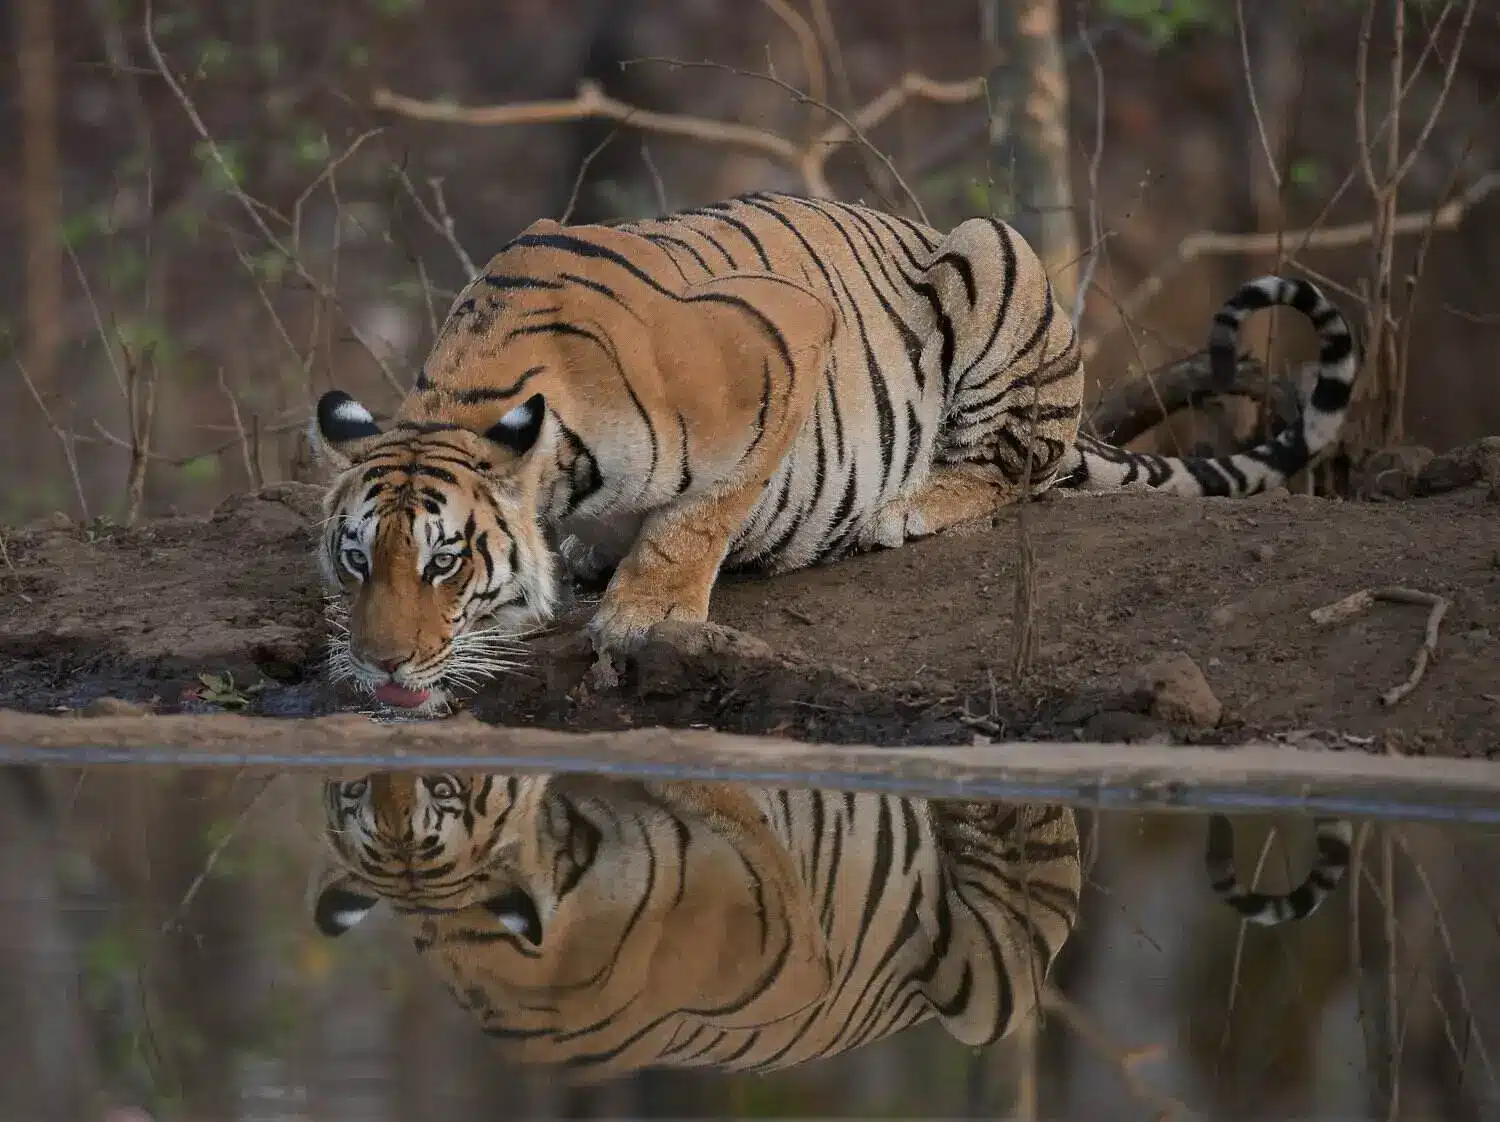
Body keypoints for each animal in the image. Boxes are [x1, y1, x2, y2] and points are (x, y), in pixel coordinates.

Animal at [306, 191, 1361, 714]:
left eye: (445, 563)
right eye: (357, 560)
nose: (378, 665)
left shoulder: (781, 340)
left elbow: (703, 512)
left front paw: (645, 611)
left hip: (993, 256)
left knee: (1021, 465)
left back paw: (908, 505)